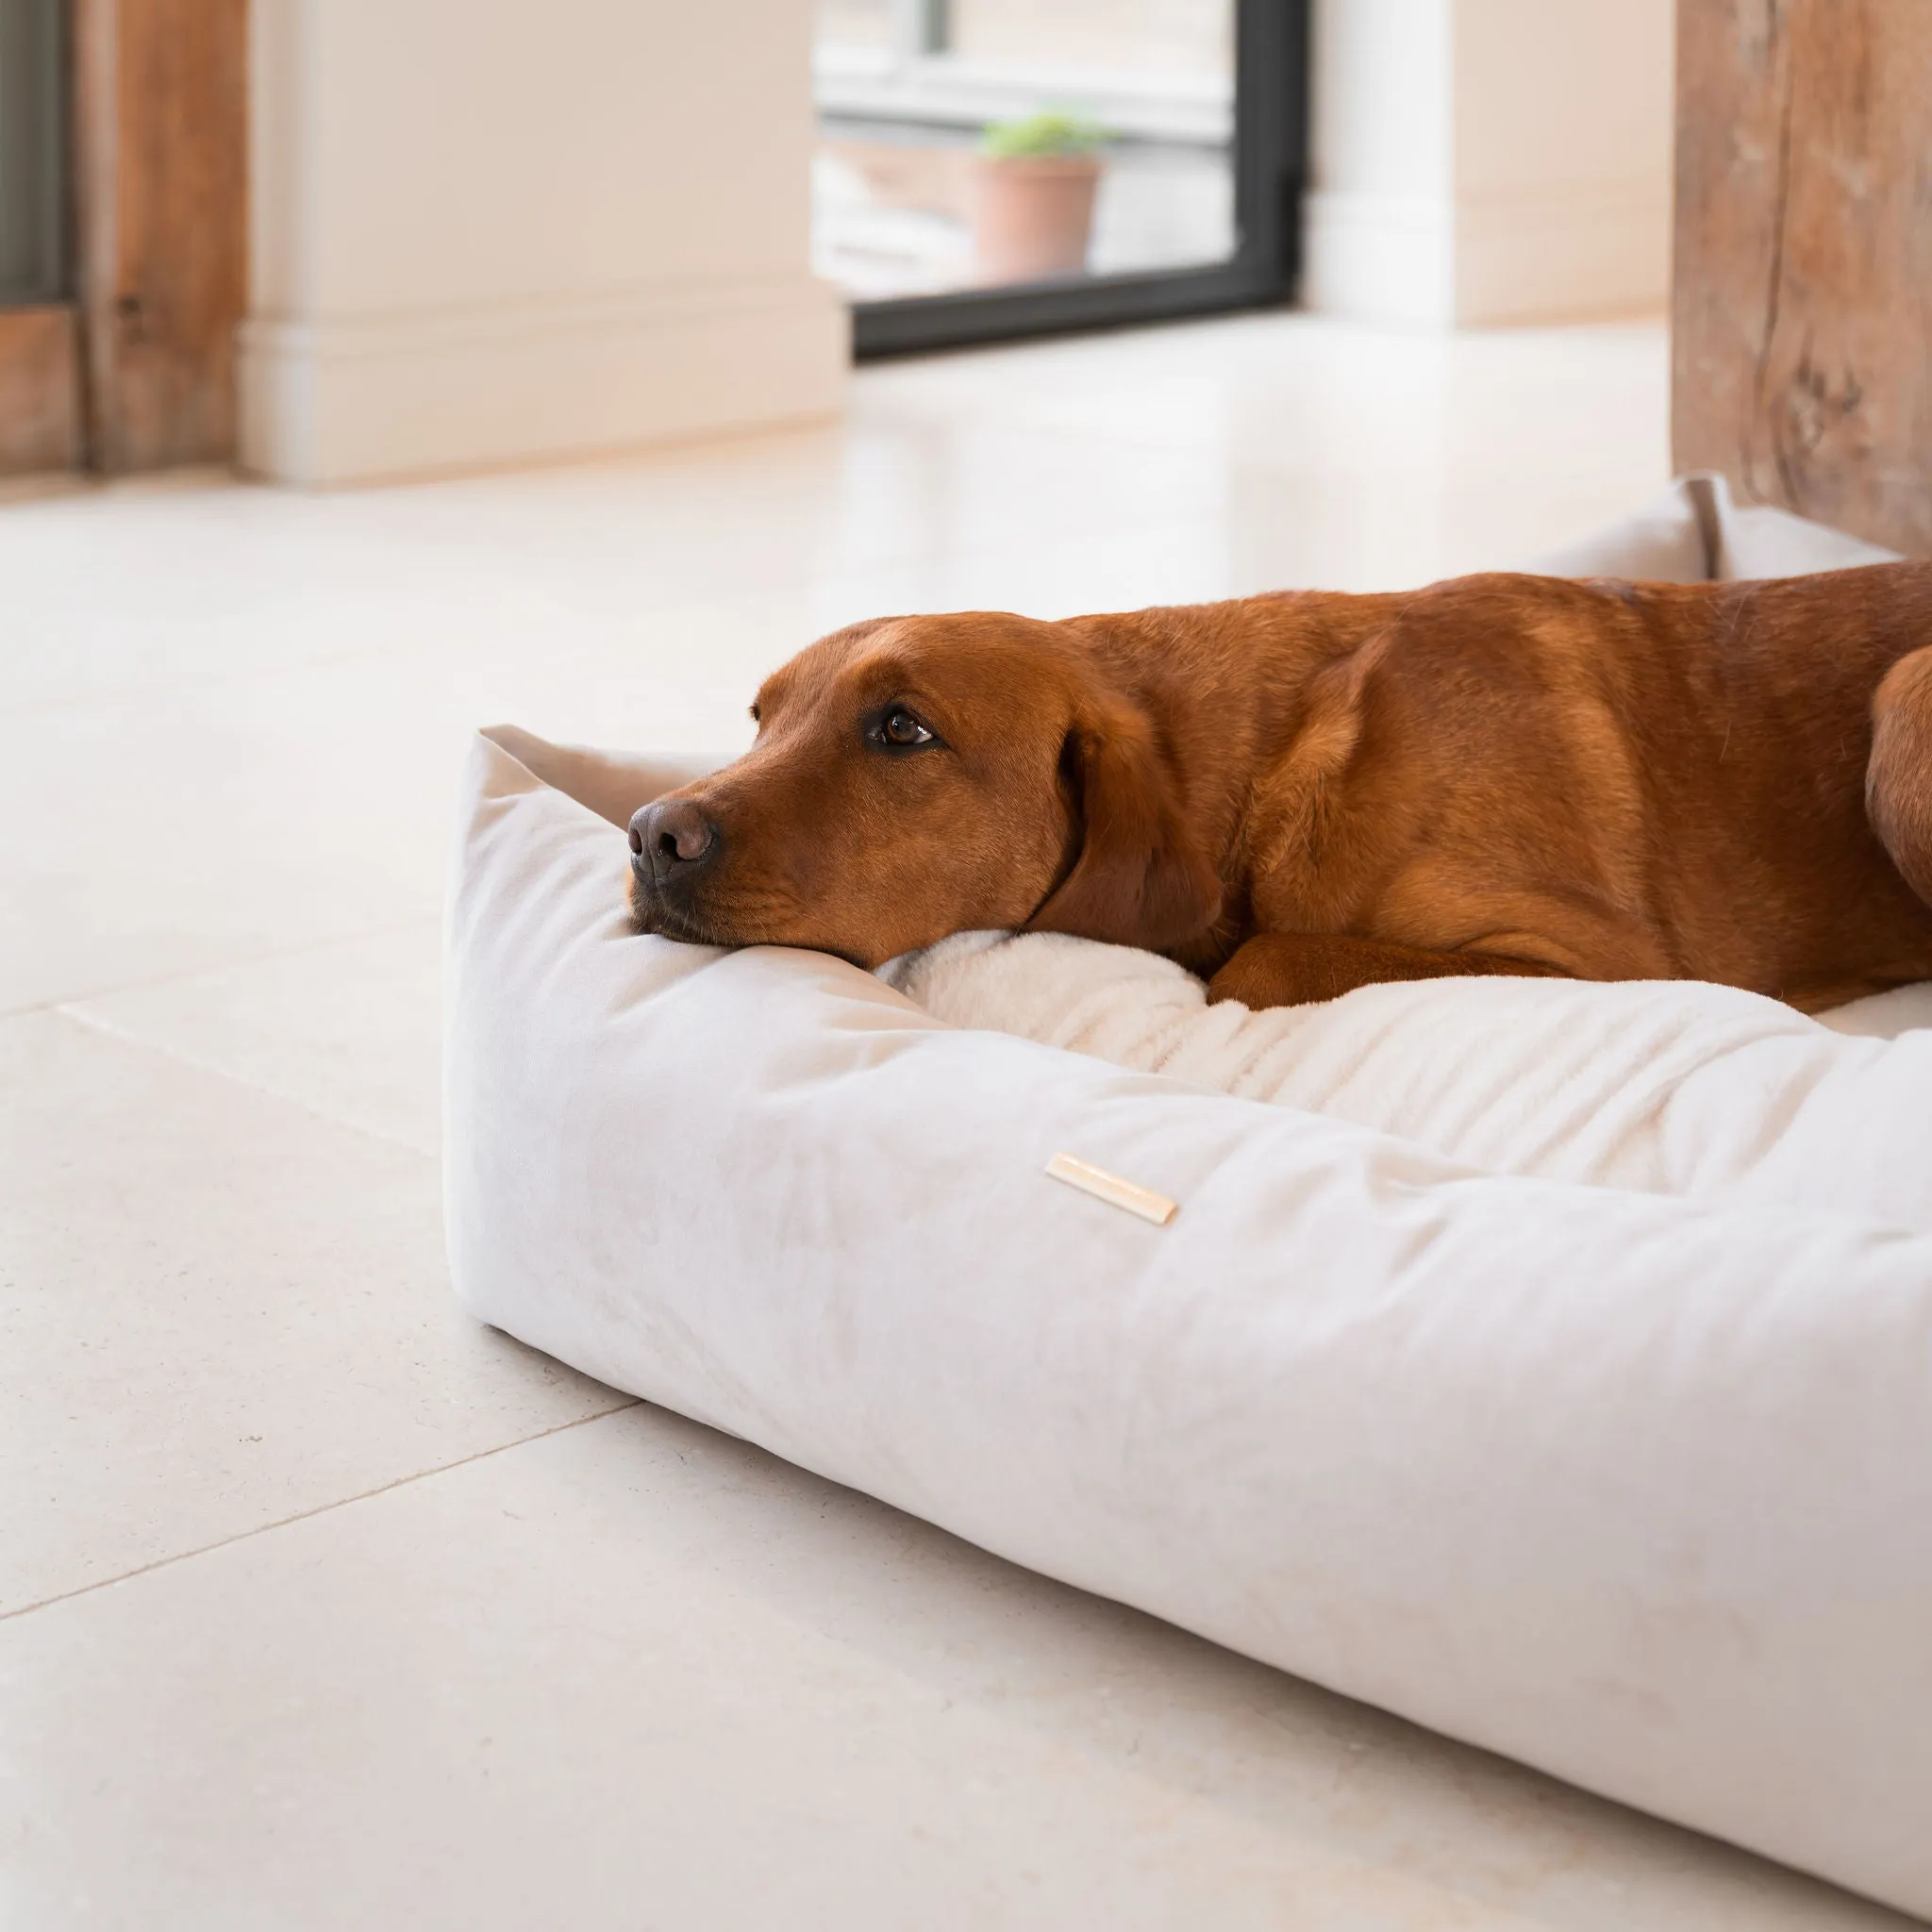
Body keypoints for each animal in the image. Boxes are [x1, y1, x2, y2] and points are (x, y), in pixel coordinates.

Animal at [625, 564, 1932, 1020]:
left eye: (901, 728)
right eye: (761, 718)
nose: (650, 835)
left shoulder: (1614, 962)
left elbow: (1263, 959)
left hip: (1905, 698)